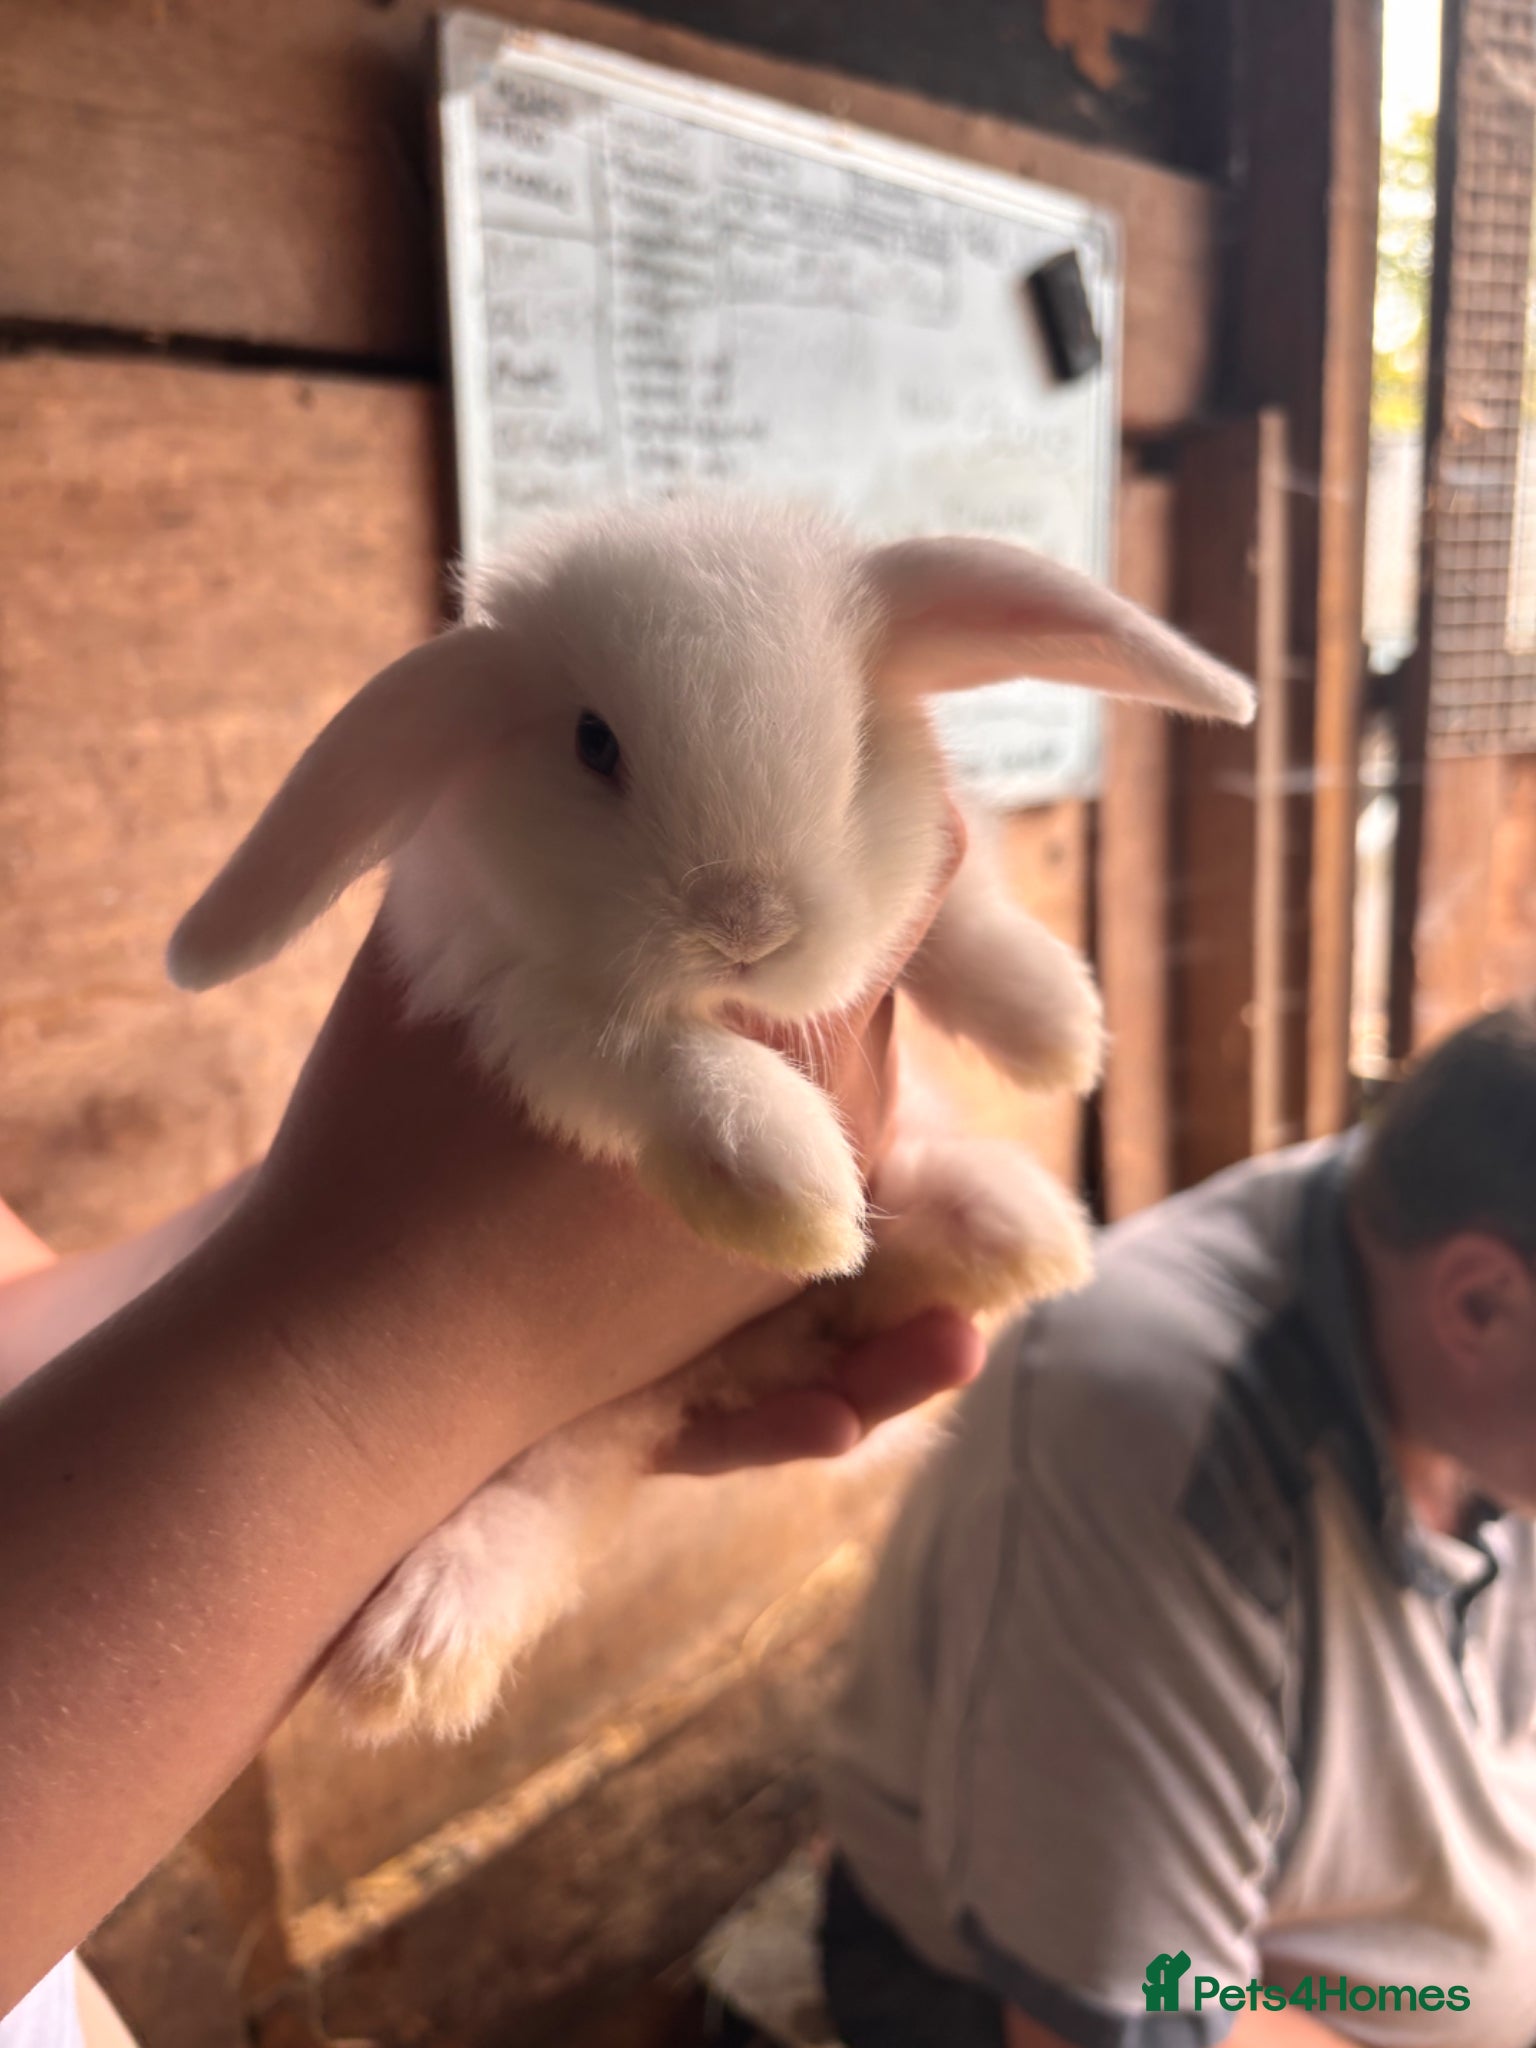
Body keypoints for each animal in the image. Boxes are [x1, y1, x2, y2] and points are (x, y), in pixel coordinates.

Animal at [169, 495, 1254, 1739]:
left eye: (856, 742)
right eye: (594, 743)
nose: (748, 922)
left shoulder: (924, 870)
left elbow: (960, 914)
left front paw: (1058, 1027)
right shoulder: (529, 1012)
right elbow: (673, 1063)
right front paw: (797, 1194)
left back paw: (1017, 1226)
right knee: (544, 1493)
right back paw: (419, 1649)